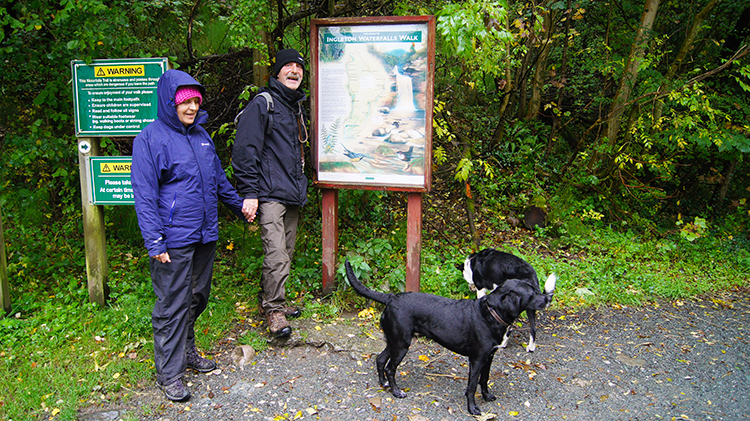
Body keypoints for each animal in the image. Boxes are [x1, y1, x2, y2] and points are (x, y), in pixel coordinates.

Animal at [350, 260, 556, 414]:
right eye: (532, 293)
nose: (548, 298)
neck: (490, 313)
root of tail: (391, 298)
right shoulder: (477, 359)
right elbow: (472, 386)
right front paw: (473, 409)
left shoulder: (489, 357)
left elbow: (484, 380)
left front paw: (487, 396)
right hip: (401, 345)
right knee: (390, 368)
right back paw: (396, 392)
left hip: (394, 341)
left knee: (380, 359)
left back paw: (383, 383)